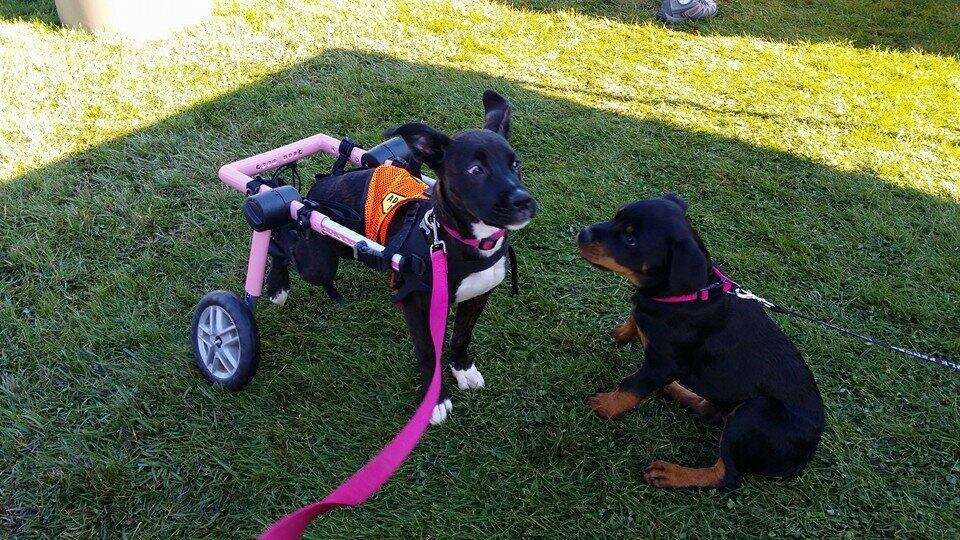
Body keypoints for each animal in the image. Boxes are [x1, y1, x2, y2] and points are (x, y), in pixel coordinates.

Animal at [264, 90, 536, 424]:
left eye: (516, 164)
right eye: (476, 170)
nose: (524, 201)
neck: (458, 240)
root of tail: (321, 184)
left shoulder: (478, 294)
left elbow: (462, 336)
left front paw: (462, 369)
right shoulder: (417, 306)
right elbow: (428, 352)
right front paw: (435, 400)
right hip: (317, 258)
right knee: (284, 241)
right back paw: (277, 285)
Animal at [576, 195, 824, 489]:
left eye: (631, 240)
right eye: (617, 216)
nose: (582, 233)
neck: (687, 296)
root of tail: (807, 453)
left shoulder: (663, 364)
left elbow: (632, 385)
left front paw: (606, 405)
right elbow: (635, 319)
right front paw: (621, 332)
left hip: (753, 412)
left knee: (727, 475)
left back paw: (669, 473)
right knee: (710, 412)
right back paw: (677, 391)